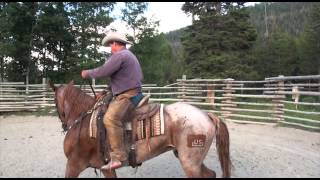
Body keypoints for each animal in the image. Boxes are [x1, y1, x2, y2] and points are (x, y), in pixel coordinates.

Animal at [48, 81, 231, 178]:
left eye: (55, 102)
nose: (64, 125)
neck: (85, 121)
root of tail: (206, 114)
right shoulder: (105, 168)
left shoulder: (73, 164)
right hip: (191, 160)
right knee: (211, 174)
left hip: (190, 164)